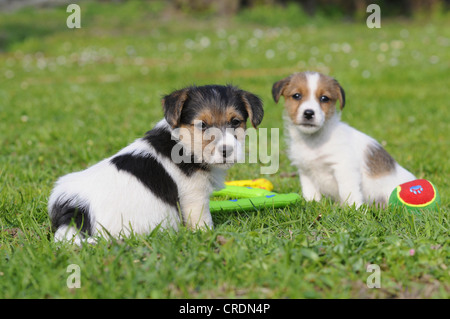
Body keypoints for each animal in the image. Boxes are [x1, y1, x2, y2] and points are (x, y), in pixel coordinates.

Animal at [48, 84, 264, 244]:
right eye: (202, 125)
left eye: (235, 122)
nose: (227, 151)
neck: (183, 144)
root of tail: (75, 211)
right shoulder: (194, 197)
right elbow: (202, 221)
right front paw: (208, 235)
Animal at [270, 71, 414, 209]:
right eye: (296, 96)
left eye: (324, 98)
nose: (309, 113)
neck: (314, 142)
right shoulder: (305, 171)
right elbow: (310, 192)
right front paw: (312, 203)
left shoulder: (344, 168)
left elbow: (348, 192)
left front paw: (354, 209)